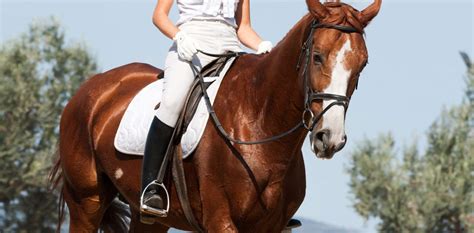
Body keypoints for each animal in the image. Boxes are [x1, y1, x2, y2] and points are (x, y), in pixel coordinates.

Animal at [48, 0, 382, 232]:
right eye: (318, 57)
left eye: (362, 64)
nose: (330, 138)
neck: (260, 122)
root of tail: (92, 88)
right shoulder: (220, 220)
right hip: (87, 202)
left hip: (150, 218)